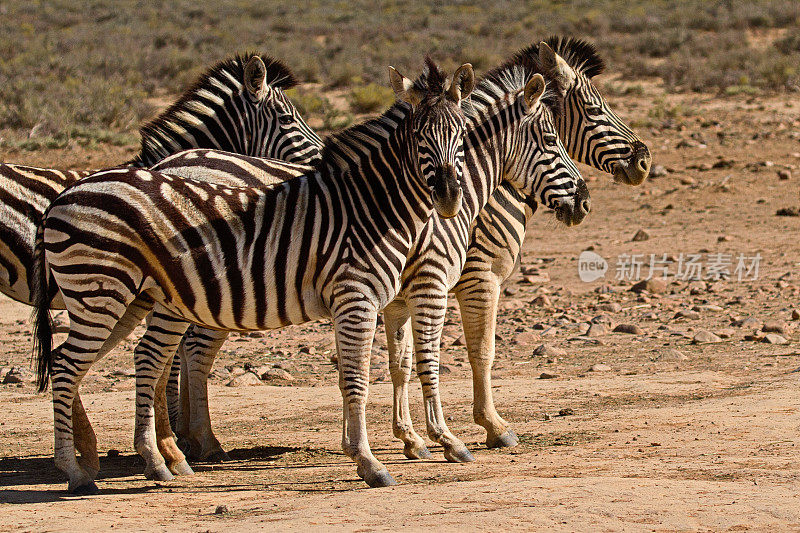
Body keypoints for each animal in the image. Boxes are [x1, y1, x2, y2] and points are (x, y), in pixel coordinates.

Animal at [34, 58, 476, 490]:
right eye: (419, 136)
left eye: (461, 135)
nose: (449, 198)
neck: (372, 207)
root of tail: (64, 195)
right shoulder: (359, 298)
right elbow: (359, 380)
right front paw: (372, 463)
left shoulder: (358, 302)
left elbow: (354, 377)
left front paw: (359, 450)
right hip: (99, 293)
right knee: (69, 365)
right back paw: (76, 471)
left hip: (131, 300)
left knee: (108, 359)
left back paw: (152, 462)